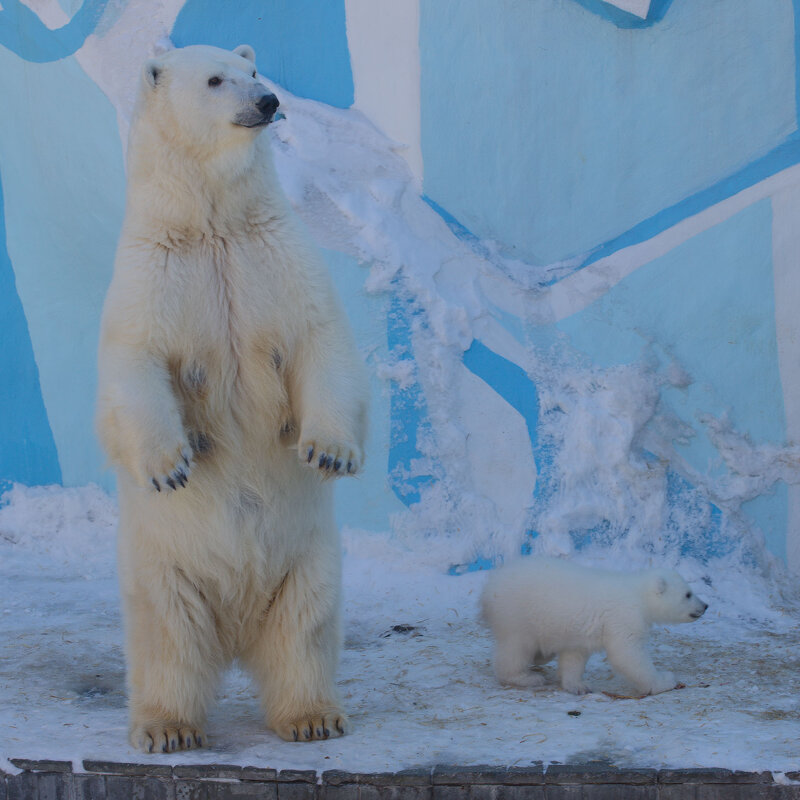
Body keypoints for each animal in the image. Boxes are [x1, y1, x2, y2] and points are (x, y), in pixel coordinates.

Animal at [97, 45, 368, 756]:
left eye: (252, 70)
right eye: (216, 79)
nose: (268, 101)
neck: (213, 222)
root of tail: (237, 633)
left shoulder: (273, 257)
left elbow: (319, 337)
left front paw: (329, 453)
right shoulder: (156, 273)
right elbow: (135, 364)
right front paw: (170, 466)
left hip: (310, 560)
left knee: (304, 629)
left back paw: (312, 715)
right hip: (161, 570)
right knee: (167, 641)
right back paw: (166, 727)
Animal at [482, 560, 708, 696]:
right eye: (688, 594)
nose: (705, 606)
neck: (638, 594)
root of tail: (490, 586)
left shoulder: (579, 631)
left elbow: (575, 656)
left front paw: (578, 686)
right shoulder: (624, 617)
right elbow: (628, 654)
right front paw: (665, 680)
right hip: (517, 615)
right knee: (515, 649)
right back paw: (526, 677)